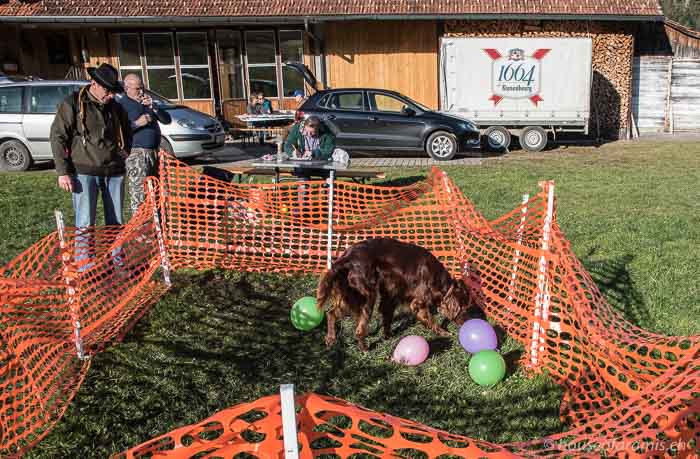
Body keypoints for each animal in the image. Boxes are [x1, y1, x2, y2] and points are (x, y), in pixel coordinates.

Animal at [316, 237, 476, 352]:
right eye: (465, 309)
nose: (467, 323)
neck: (438, 279)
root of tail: (346, 258)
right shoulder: (419, 301)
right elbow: (429, 318)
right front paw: (443, 332)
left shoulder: (391, 295)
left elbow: (387, 316)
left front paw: (388, 335)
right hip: (366, 297)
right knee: (359, 329)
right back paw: (364, 348)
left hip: (350, 297)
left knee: (330, 313)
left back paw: (330, 339)